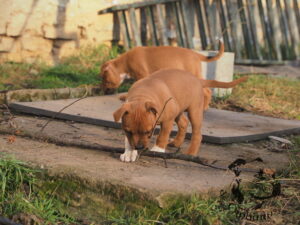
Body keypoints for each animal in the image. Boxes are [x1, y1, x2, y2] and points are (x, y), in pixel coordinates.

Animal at [113, 68, 247, 162]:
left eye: (149, 131)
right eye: (128, 131)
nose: (139, 147)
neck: (142, 96)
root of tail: (197, 79)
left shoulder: (168, 120)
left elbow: (162, 135)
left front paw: (158, 149)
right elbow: (128, 140)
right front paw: (129, 153)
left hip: (194, 112)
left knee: (197, 134)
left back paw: (191, 153)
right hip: (179, 109)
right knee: (183, 123)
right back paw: (176, 143)